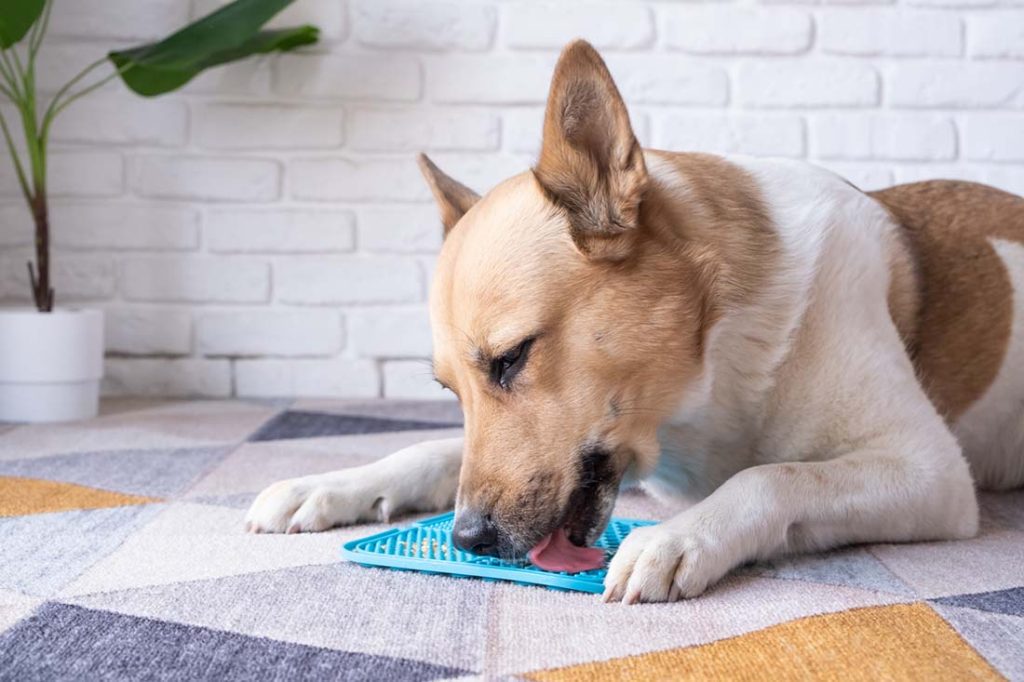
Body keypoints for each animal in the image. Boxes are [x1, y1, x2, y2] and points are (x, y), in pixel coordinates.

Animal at [247, 41, 1024, 602]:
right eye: (447, 389)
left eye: (511, 357)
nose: (466, 542)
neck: (716, 364)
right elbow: (432, 451)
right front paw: (329, 485)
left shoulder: (929, 472)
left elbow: (774, 476)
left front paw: (678, 539)